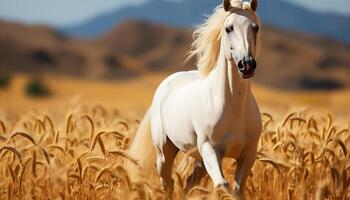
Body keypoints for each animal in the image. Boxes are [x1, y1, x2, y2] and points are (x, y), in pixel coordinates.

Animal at [129, 0, 262, 198]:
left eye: (255, 27)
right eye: (228, 28)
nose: (246, 65)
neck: (234, 107)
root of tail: (165, 84)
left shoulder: (248, 156)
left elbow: (236, 191)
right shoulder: (210, 148)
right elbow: (222, 185)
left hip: (199, 160)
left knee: (188, 184)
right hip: (165, 152)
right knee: (168, 183)